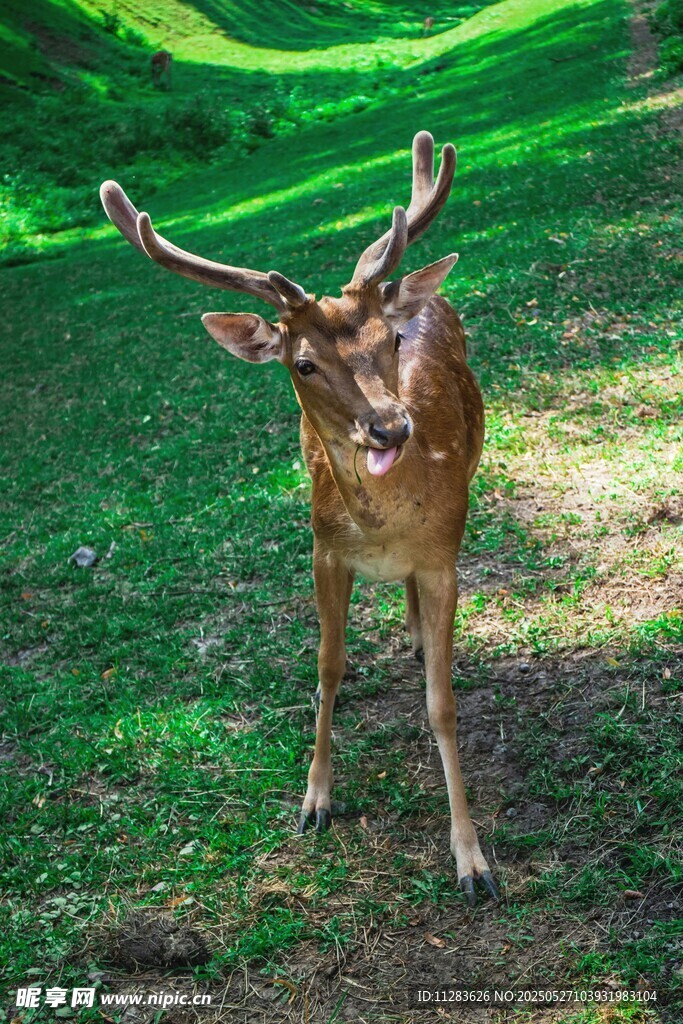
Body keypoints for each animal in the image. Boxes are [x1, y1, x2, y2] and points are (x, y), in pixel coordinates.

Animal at [99, 131, 499, 905]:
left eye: (390, 343)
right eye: (305, 364)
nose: (389, 426)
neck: (382, 529)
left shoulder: (445, 552)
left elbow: (441, 702)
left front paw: (472, 861)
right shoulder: (322, 550)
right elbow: (327, 668)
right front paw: (314, 802)